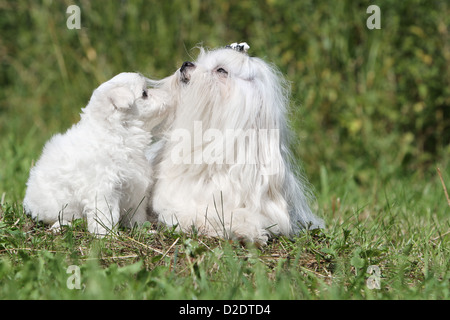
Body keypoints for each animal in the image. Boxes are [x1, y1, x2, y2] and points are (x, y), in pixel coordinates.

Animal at [24, 72, 172, 235]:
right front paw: (107, 235)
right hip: (53, 206)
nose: (167, 94)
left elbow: (136, 214)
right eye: (144, 93)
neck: (116, 135)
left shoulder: (135, 188)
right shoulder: (104, 189)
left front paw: (140, 230)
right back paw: (61, 225)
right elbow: (106, 214)